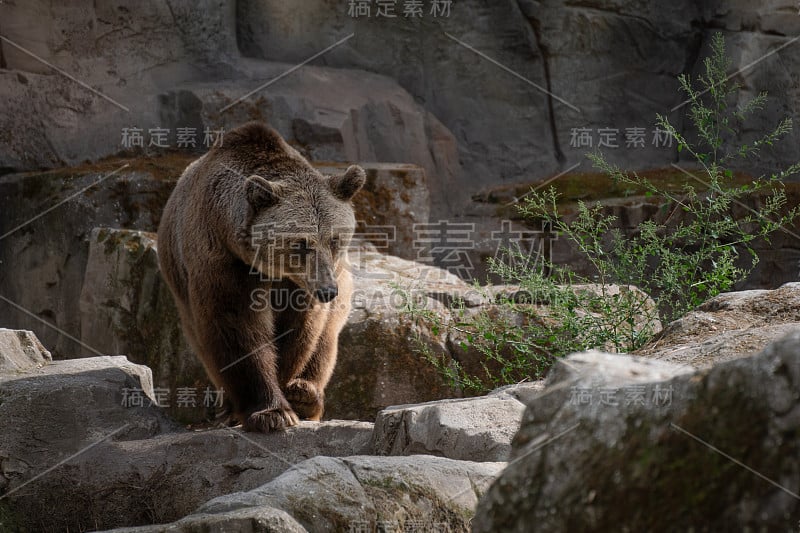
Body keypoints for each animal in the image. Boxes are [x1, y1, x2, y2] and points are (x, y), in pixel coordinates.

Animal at [155, 121, 366, 432]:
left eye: (335, 239)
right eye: (301, 243)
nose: (328, 290)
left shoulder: (299, 286)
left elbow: (298, 332)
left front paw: (286, 396)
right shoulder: (223, 260)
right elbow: (237, 327)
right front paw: (272, 412)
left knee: (326, 341)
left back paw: (305, 394)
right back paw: (229, 408)